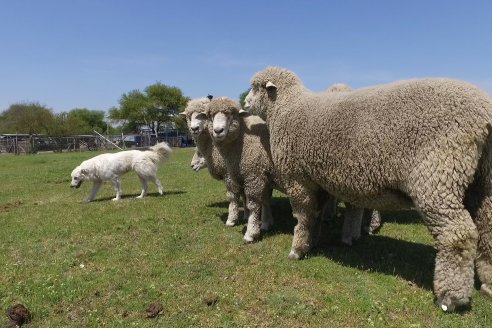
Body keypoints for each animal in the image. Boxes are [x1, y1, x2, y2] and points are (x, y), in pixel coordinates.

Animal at [182, 96, 245, 227]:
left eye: (201, 115)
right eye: (189, 116)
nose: (194, 129)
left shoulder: (230, 174)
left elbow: (232, 196)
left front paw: (231, 219)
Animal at [207, 96, 276, 242]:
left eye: (231, 114)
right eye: (210, 115)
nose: (218, 131)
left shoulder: (254, 176)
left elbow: (253, 205)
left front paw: (251, 233)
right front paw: (263, 224)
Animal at [246, 66, 492, 310]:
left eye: (256, 87)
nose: (246, 103)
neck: (287, 109)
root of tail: (484, 111)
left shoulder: (298, 179)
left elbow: (303, 216)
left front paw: (297, 249)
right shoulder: (317, 180)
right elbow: (315, 215)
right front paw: (311, 242)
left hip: (438, 177)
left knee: (458, 235)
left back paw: (450, 297)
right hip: (481, 181)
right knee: (486, 228)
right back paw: (487, 285)